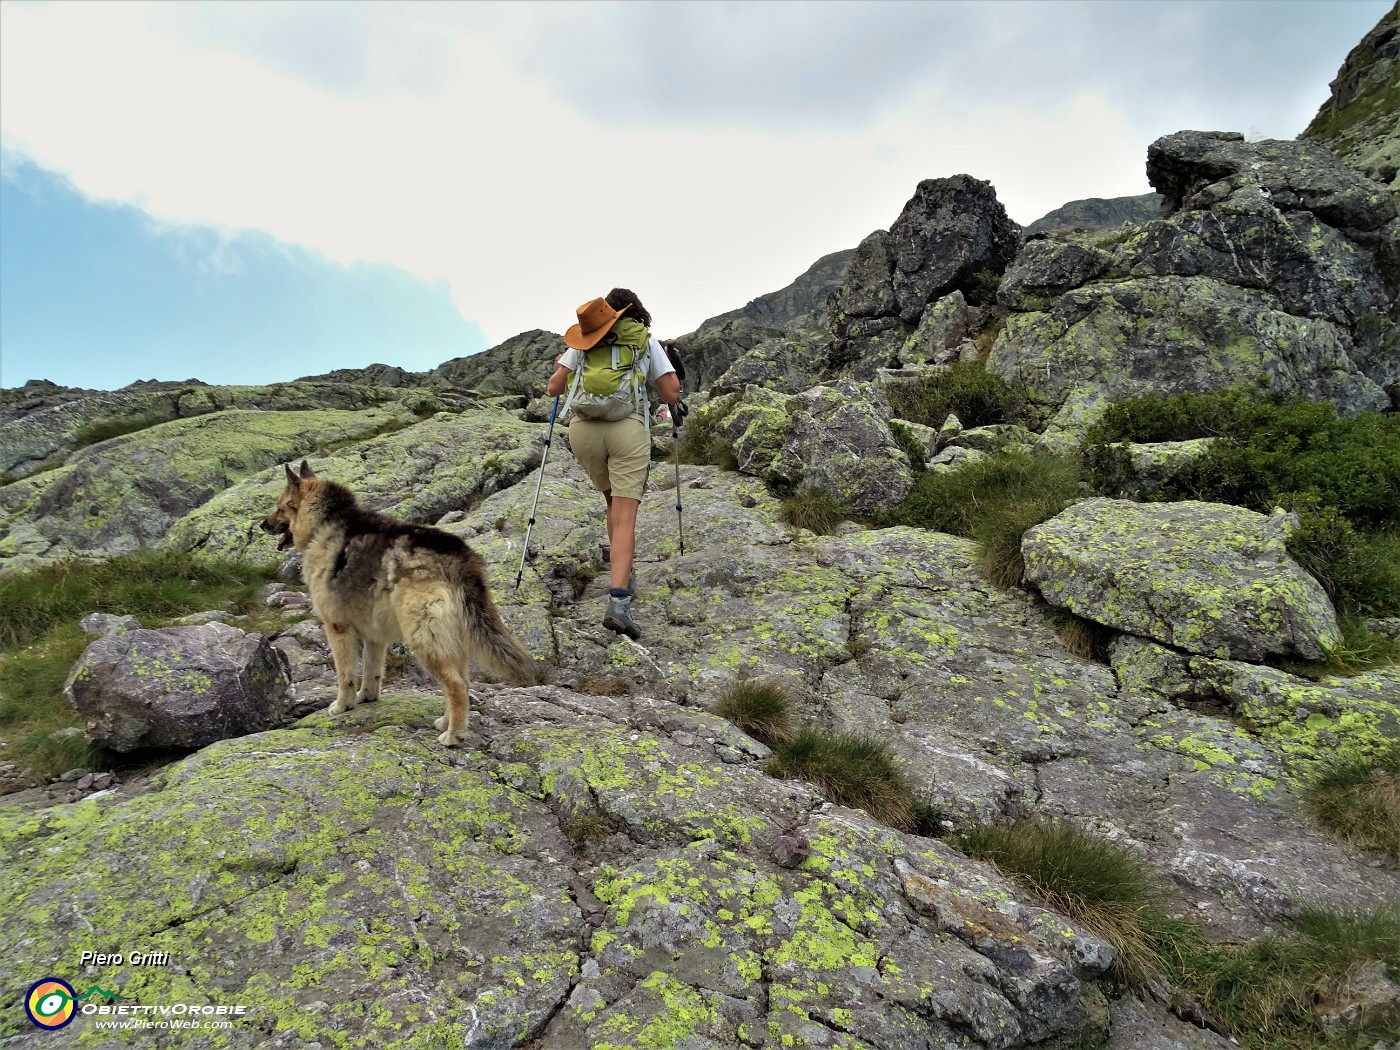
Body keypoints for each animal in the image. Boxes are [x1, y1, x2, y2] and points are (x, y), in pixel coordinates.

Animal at [260, 462, 532, 750]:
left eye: (280, 507)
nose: (262, 524)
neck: (323, 524)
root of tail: (460, 558)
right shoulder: (373, 634)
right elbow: (372, 670)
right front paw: (366, 697)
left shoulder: (337, 626)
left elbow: (345, 673)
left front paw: (341, 705)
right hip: (452, 638)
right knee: (464, 683)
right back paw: (446, 723)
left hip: (424, 639)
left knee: (456, 686)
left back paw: (453, 736)